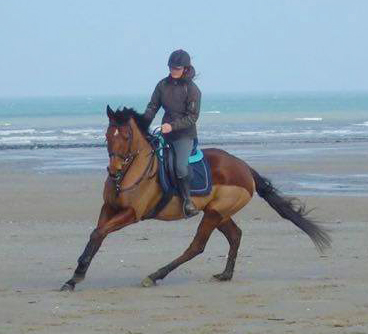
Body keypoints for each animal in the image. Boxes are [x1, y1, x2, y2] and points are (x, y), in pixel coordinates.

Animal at [59, 105, 330, 290]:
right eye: (107, 135)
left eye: (126, 136)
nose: (113, 171)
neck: (130, 173)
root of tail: (244, 167)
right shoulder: (109, 207)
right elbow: (97, 235)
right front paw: (74, 277)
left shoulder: (131, 214)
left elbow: (98, 233)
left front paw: (77, 275)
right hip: (219, 214)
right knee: (235, 235)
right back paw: (225, 274)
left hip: (214, 213)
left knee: (197, 246)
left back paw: (155, 276)